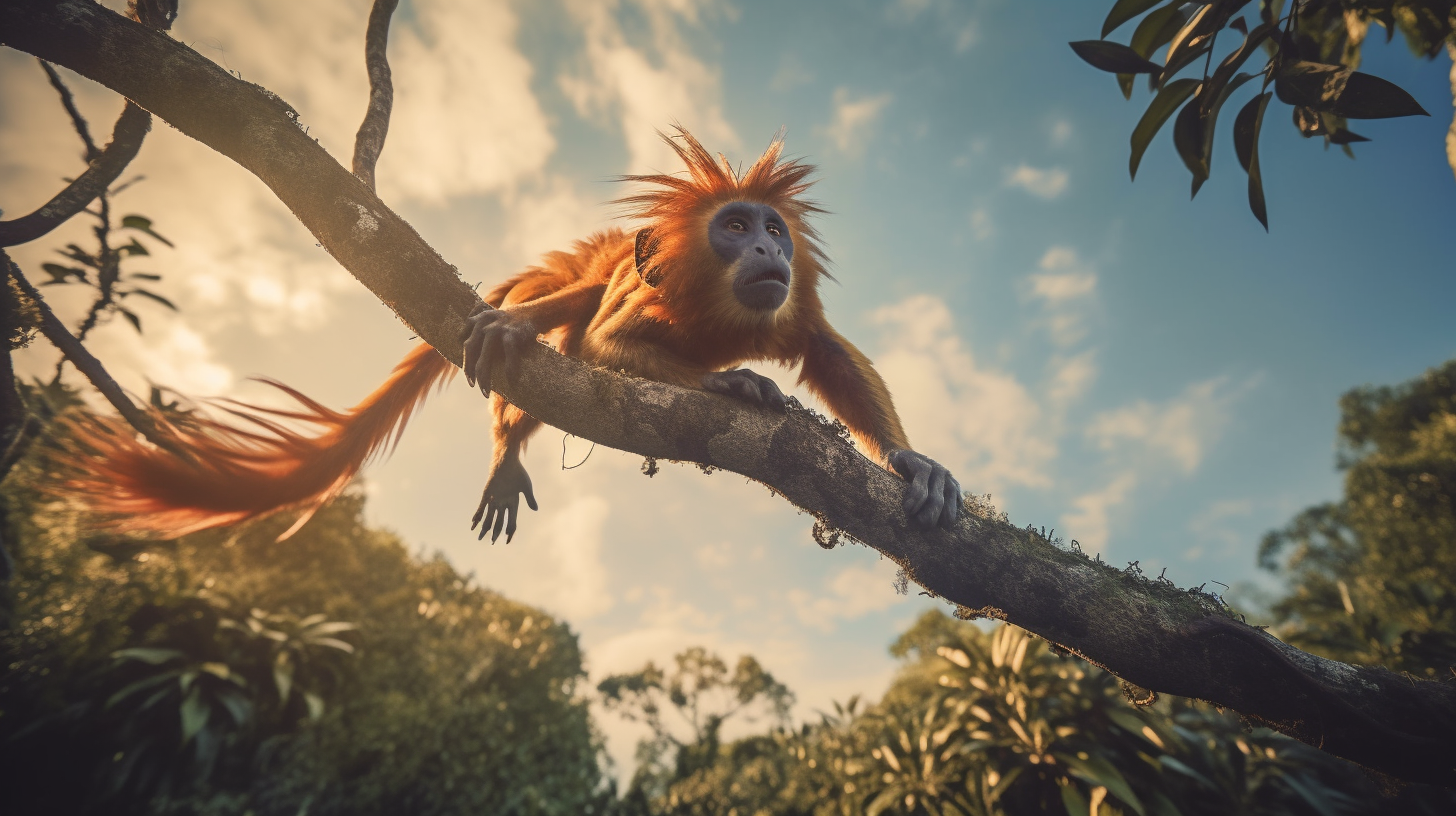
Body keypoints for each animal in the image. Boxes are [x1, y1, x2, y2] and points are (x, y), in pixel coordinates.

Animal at [56, 128, 960, 542]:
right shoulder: (649, 291)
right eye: (735, 227)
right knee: (561, 324)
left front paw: (911, 461)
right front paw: (732, 384)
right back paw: (509, 420)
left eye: (773, 229)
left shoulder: (788, 304)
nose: (771, 248)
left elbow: (826, 350)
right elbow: (602, 348)